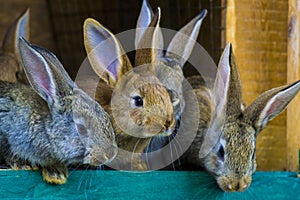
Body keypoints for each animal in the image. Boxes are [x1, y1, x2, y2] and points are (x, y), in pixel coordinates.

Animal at [0, 38, 117, 184]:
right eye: (81, 128)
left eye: (107, 117)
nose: (110, 155)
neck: (45, 129)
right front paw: (22, 164)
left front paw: (57, 172)